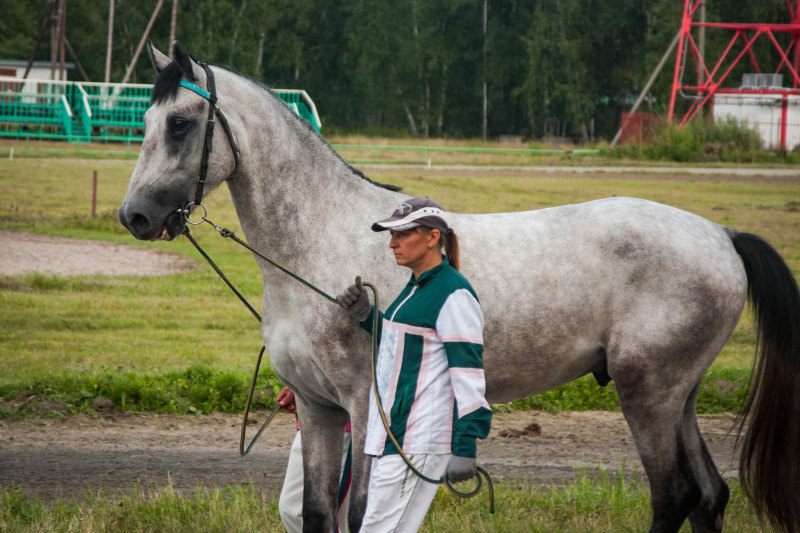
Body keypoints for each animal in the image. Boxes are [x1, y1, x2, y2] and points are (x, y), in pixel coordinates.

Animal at [119, 42, 800, 532]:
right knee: (709, 495)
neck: (319, 243)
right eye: (144, 120)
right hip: (678, 396)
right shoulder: (316, 410)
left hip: (649, 395)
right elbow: (317, 513)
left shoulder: (369, 410)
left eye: (179, 123)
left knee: (675, 496)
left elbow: (360, 514)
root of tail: (720, 234)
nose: (135, 217)